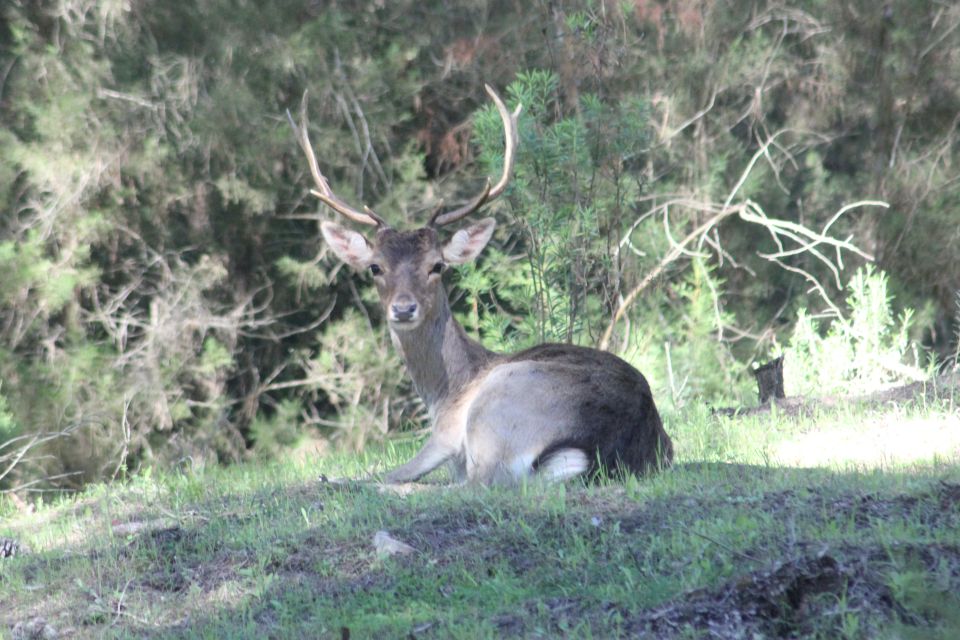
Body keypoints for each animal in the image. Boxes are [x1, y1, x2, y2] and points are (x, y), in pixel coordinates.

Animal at [288, 85, 672, 484]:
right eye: (375, 267)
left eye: (437, 265)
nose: (404, 308)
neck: (446, 392)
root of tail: (600, 451)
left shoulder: (446, 433)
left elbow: (383, 474)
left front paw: (330, 478)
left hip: (496, 412)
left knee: (476, 483)